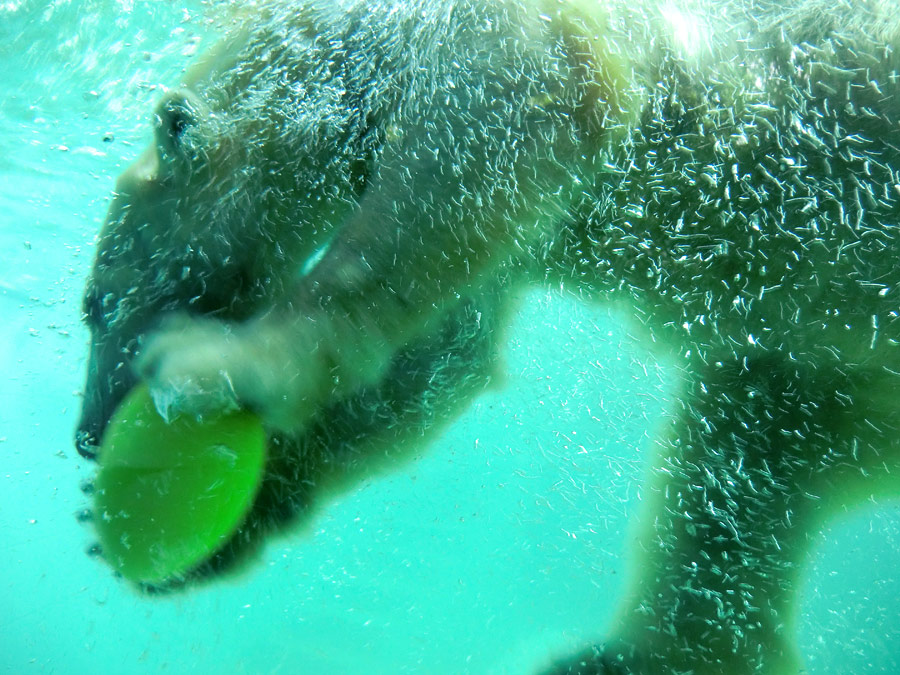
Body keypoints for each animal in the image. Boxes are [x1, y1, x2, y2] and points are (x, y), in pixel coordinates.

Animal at [75, 0, 900, 672]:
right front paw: (225, 513)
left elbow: (513, 92)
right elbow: (443, 354)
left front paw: (230, 363)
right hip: (838, 367)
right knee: (751, 447)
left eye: (94, 304)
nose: (85, 436)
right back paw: (636, 655)